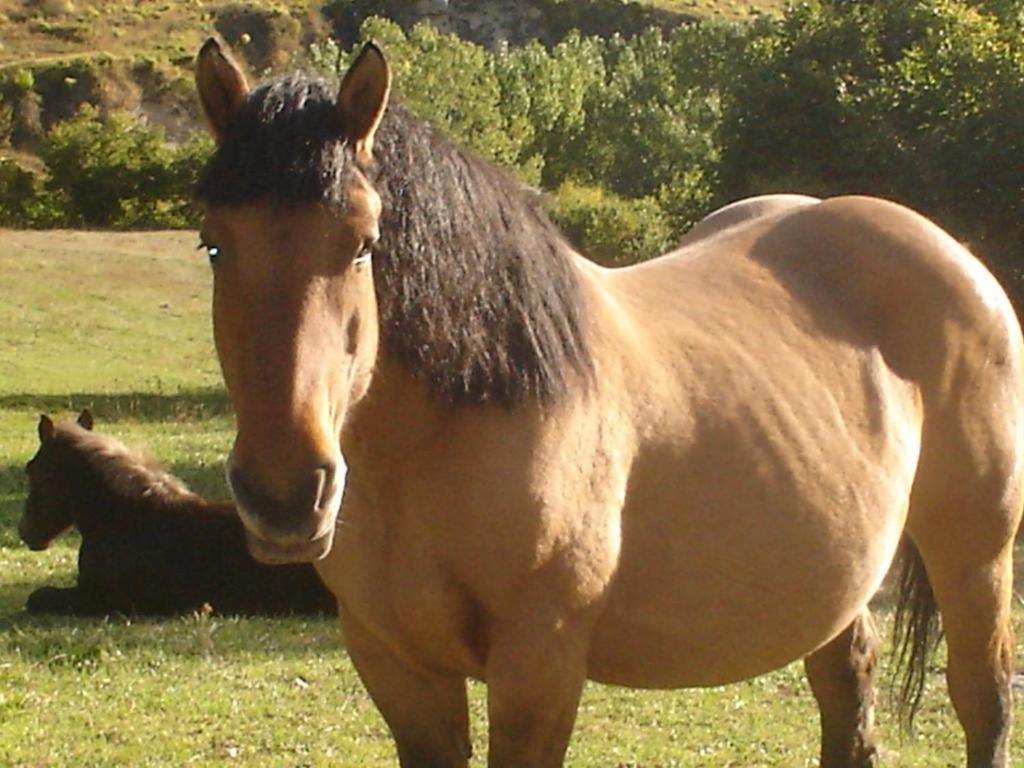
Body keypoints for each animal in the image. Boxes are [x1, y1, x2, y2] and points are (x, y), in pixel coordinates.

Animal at [193, 40, 1024, 768]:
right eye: (213, 244)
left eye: (364, 243)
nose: (284, 494)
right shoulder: (396, 664)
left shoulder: (540, 663)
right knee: (847, 694)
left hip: (976, 551)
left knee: (981, 699)